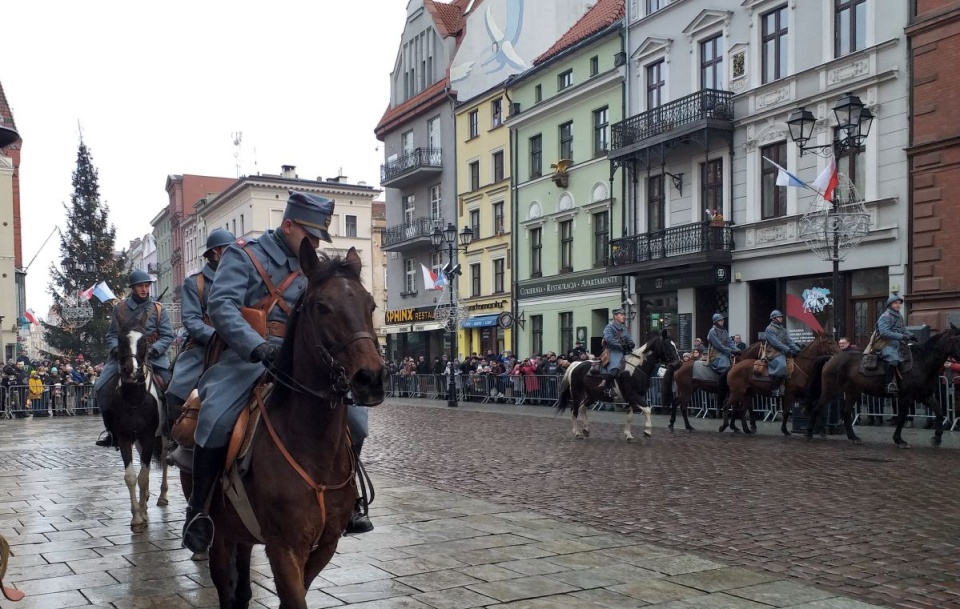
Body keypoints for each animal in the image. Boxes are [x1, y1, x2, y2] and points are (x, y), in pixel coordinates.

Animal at [100, 312, 172, 528]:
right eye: (120, 339)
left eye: (144, 341)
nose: (130, 370)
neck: (134, 397)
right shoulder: (124, 437)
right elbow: (133, 477)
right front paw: (137, 516)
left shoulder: (148, 438)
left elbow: (144, 477)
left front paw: (142, 512)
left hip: (162, 436)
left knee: (164, 460)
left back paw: (162, 497)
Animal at [191, 242, 386, 608]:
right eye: (322, 306)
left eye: (371, 305)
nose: (372, 379)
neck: (312, 446)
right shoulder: (284, 547)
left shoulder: (325, 545)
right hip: (220, 532)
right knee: (224, 583)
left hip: (243, 533)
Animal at [556, 330, 684, 440]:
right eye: (666, 345)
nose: (678, 363)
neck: (636, 368)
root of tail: (576, 364)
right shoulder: (633, 395)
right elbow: (647, 409)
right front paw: (647, 431)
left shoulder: (634, 398)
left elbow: (630, 416)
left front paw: (628, 435)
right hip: (577, 394)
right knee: (574, 410)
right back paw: (577, 432)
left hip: (592, 396)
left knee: (582, 408)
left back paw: (586, 429)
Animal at [804, 328, 960, 446]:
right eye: (958, 338)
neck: (922, 362)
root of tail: (831, 358)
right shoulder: (906, 397)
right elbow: (902, 417)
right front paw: (899, 440)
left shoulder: (925, 396)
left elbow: (939, 413)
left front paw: (937, 438)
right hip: (831, 390)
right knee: (817, 407)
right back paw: (810, 433)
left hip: (852, 392)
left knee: (846, 412)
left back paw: (853, 437)